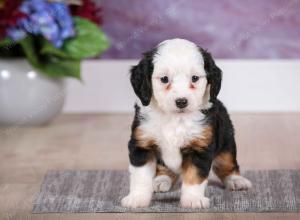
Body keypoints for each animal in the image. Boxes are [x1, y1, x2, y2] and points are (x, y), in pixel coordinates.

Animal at [121, 38, 251, 209]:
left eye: (194, 78)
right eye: (164, 79)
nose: (181, 102)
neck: (174, 119)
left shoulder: (199, 147)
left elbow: (194, 177)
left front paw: (193, 199)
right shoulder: (142, 145)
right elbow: (140, 176)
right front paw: (137, 198)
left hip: (226, 141)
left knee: (227, 164)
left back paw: (236, 180)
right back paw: (161, 180)